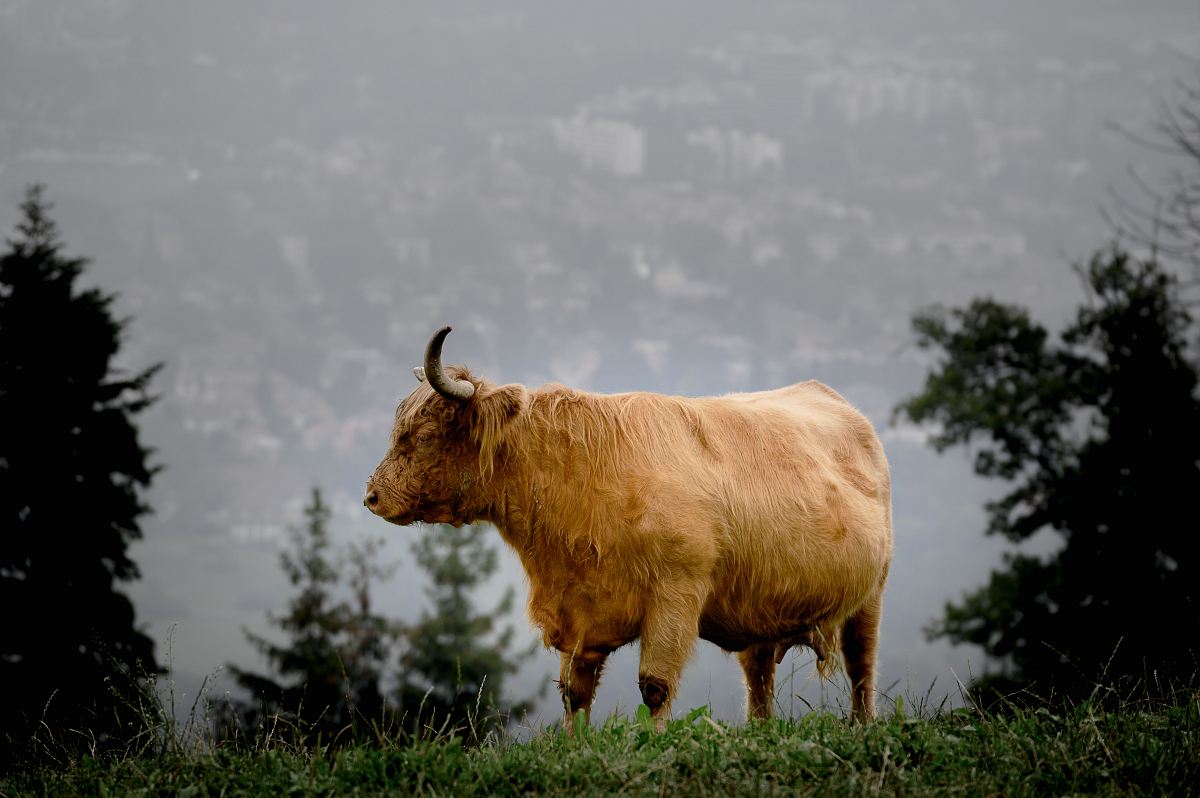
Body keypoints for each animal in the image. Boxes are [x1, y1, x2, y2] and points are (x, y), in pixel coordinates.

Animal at [364, 326, 892, 724]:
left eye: (424, 435)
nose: (372, 497)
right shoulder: (581, 612)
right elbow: (573, 692)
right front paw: (572, 748)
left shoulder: (676, 596)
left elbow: (655, 687)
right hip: (761, 607)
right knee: (758, 679)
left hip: (870, 596)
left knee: (862, 665)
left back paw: (862, 726)